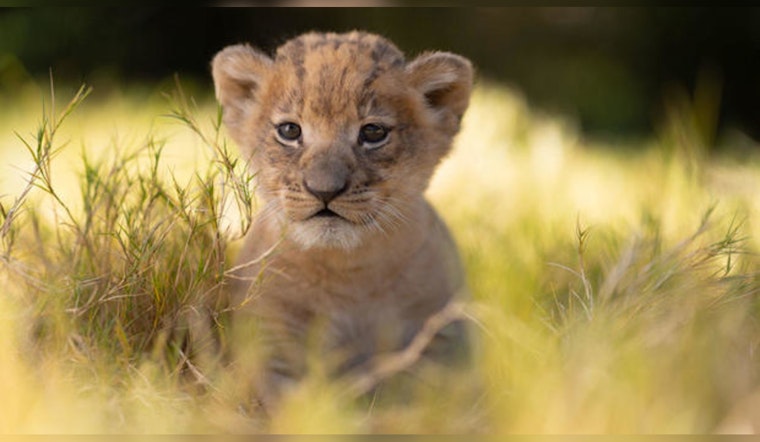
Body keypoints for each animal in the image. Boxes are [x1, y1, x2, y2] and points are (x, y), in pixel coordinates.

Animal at [211, 30, 474, 409]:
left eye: (373, 132)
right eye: (289, 130)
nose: (324, 190)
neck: (349, 270)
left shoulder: (440, 332)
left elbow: (427, 396)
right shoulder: (270, 338)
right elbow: (287, 403)